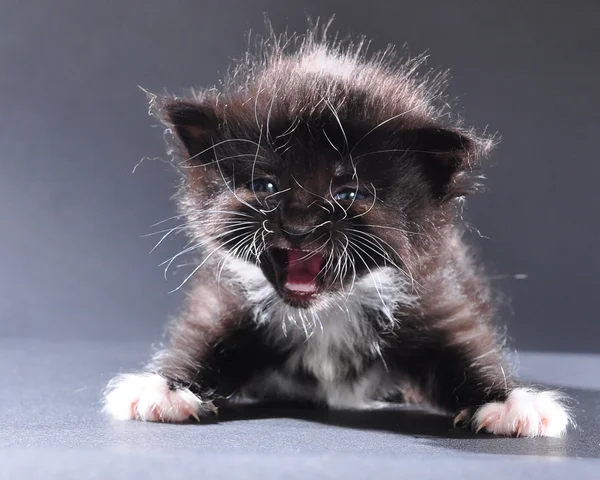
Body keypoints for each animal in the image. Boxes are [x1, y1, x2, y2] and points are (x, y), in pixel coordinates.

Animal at [103, 24, 572, 436]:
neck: (327, 311)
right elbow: (202, 339)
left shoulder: (437, 295)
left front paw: (511, 403)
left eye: (348, 193)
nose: (298, 223)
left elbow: (465, 351)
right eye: (265, 185)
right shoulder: (223, 297)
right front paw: (165, 388)